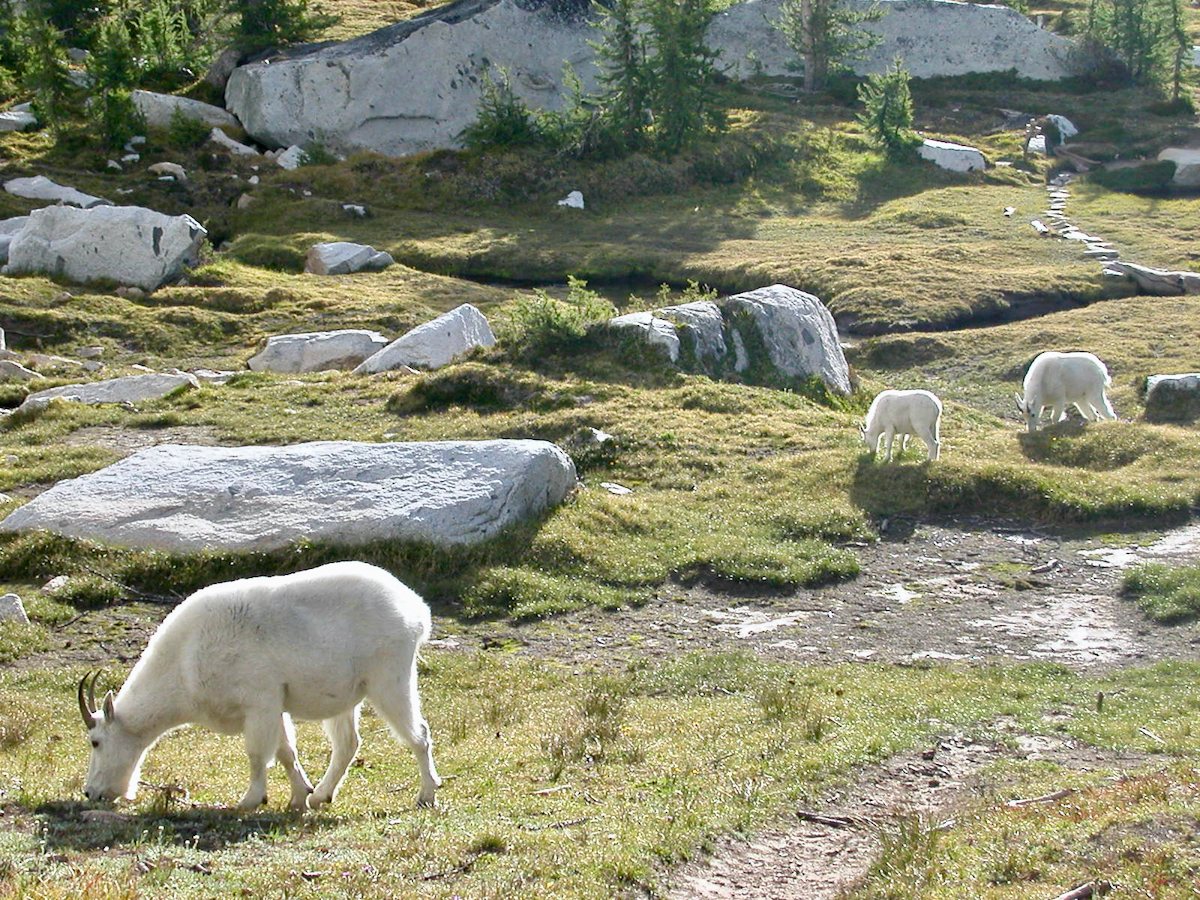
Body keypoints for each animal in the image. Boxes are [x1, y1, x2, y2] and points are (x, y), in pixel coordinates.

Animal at [78, 564, 441, 811]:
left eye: (96, 741)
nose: (90, 792)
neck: (185, 659)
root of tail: (416, 609)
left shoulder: (259, 701)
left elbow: (257, 754)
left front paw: (250, 800)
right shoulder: (274, 705)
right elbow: (285, 752)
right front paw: (299, 797)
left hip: (389, 677)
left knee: (418, 733)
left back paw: (426, 794)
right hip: (348, 694)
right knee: (348, 743)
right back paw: (322, 795)